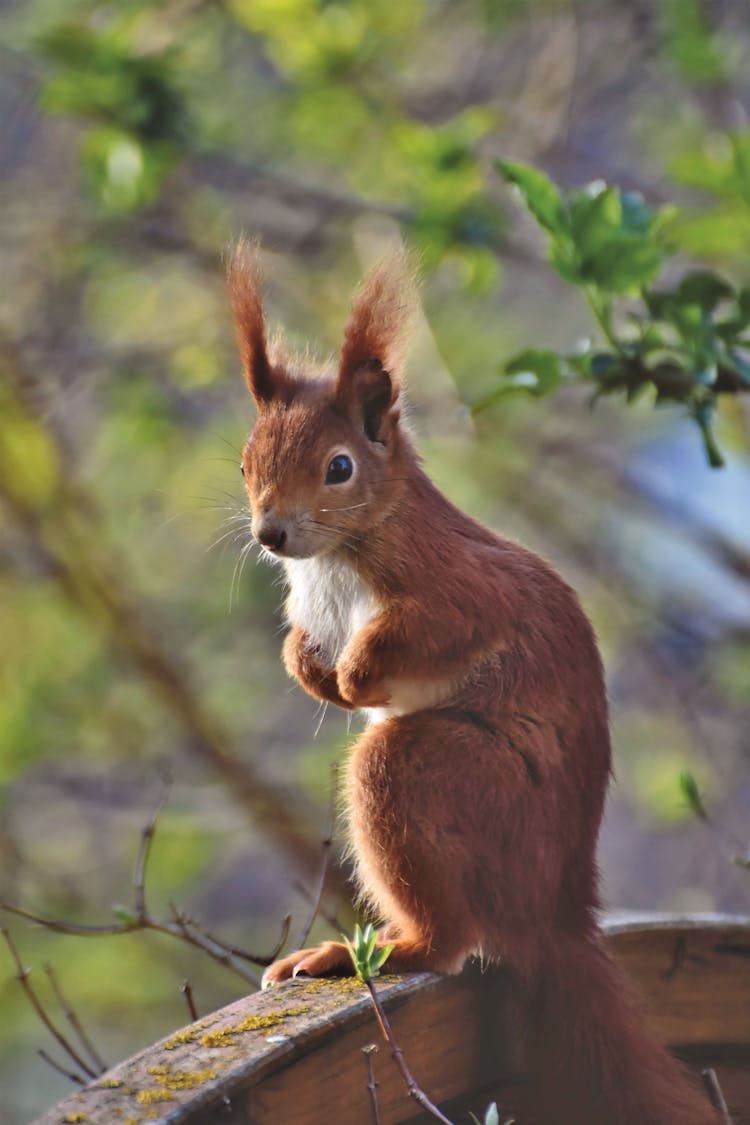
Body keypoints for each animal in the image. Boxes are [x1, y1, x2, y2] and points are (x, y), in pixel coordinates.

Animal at [230, 246, 719, 1125]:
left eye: (339, 468)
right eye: (245, 461)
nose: (270, 533)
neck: (337, 557)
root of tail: (556, 912)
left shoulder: (460, 588)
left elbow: (430, 630)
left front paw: (355, 672)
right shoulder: (311, 605)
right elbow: (298, 647)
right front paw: (314, 670)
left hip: (457, 780)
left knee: (446, 930)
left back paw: (370, 949)